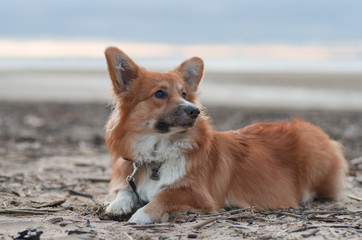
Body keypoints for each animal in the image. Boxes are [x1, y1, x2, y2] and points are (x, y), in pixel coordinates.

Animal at [104, 47, 348, 225]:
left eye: (184, 94)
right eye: (160, 93)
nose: (194, 111)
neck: (158, 153)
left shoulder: (197, 193)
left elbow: (164, 196)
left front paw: (142, 214)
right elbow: (124, 190)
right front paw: (117, 205)